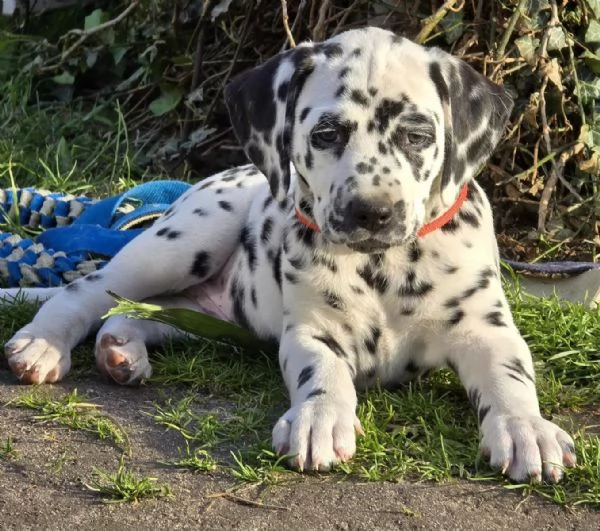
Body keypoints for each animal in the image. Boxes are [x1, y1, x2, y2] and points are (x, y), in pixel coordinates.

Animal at [2, 27, 576, 484]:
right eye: (326, 133)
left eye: (417, 135)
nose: (373, 211)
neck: (383, 266)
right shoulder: (312, 331)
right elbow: (321, 372)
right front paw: (319, 418)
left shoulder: (485, 328)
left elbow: (510, 375)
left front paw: (525, 428)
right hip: (184, 241)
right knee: (87, 290)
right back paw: (42, 345)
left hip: (219, 322)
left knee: (143, 312)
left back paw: (121, 349)